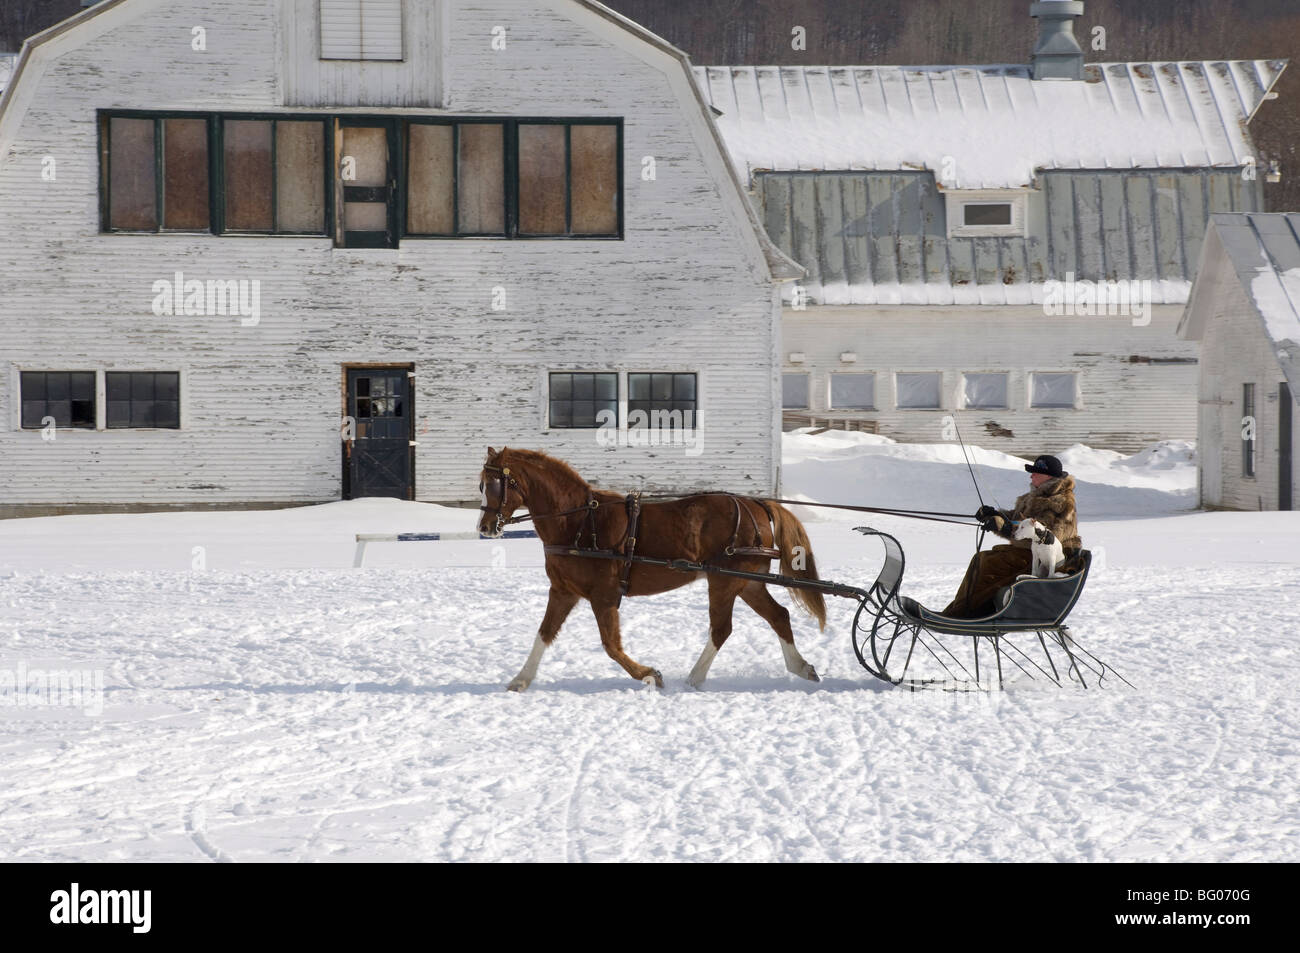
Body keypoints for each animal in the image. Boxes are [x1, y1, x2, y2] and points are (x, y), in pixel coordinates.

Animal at [476, 446, 827, 691]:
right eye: (482, 485)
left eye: (494, 485)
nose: (484, 528)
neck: (578, 522)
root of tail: (756, 504)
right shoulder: (563, 591)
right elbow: (544, 633)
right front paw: (521, 679)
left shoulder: (603, 596)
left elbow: (611, 646)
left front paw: (650, 675)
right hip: (747, 582)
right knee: (778, 616)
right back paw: (801, 667)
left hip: (724, 581)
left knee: (722, 629)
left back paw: (694, 678)